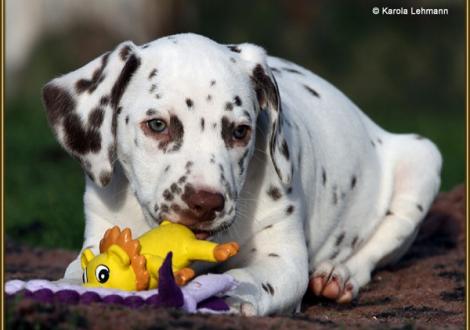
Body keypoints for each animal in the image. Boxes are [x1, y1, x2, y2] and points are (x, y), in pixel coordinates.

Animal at [42, 32, 442, 314]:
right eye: (157, 125)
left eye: (239, 131)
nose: (206, 202)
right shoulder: (98, 235)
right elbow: (78, 271)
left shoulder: (284, 260)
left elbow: (247, 276)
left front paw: (231, 297)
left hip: (423, 159)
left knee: (376, 247)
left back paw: (337, 276)